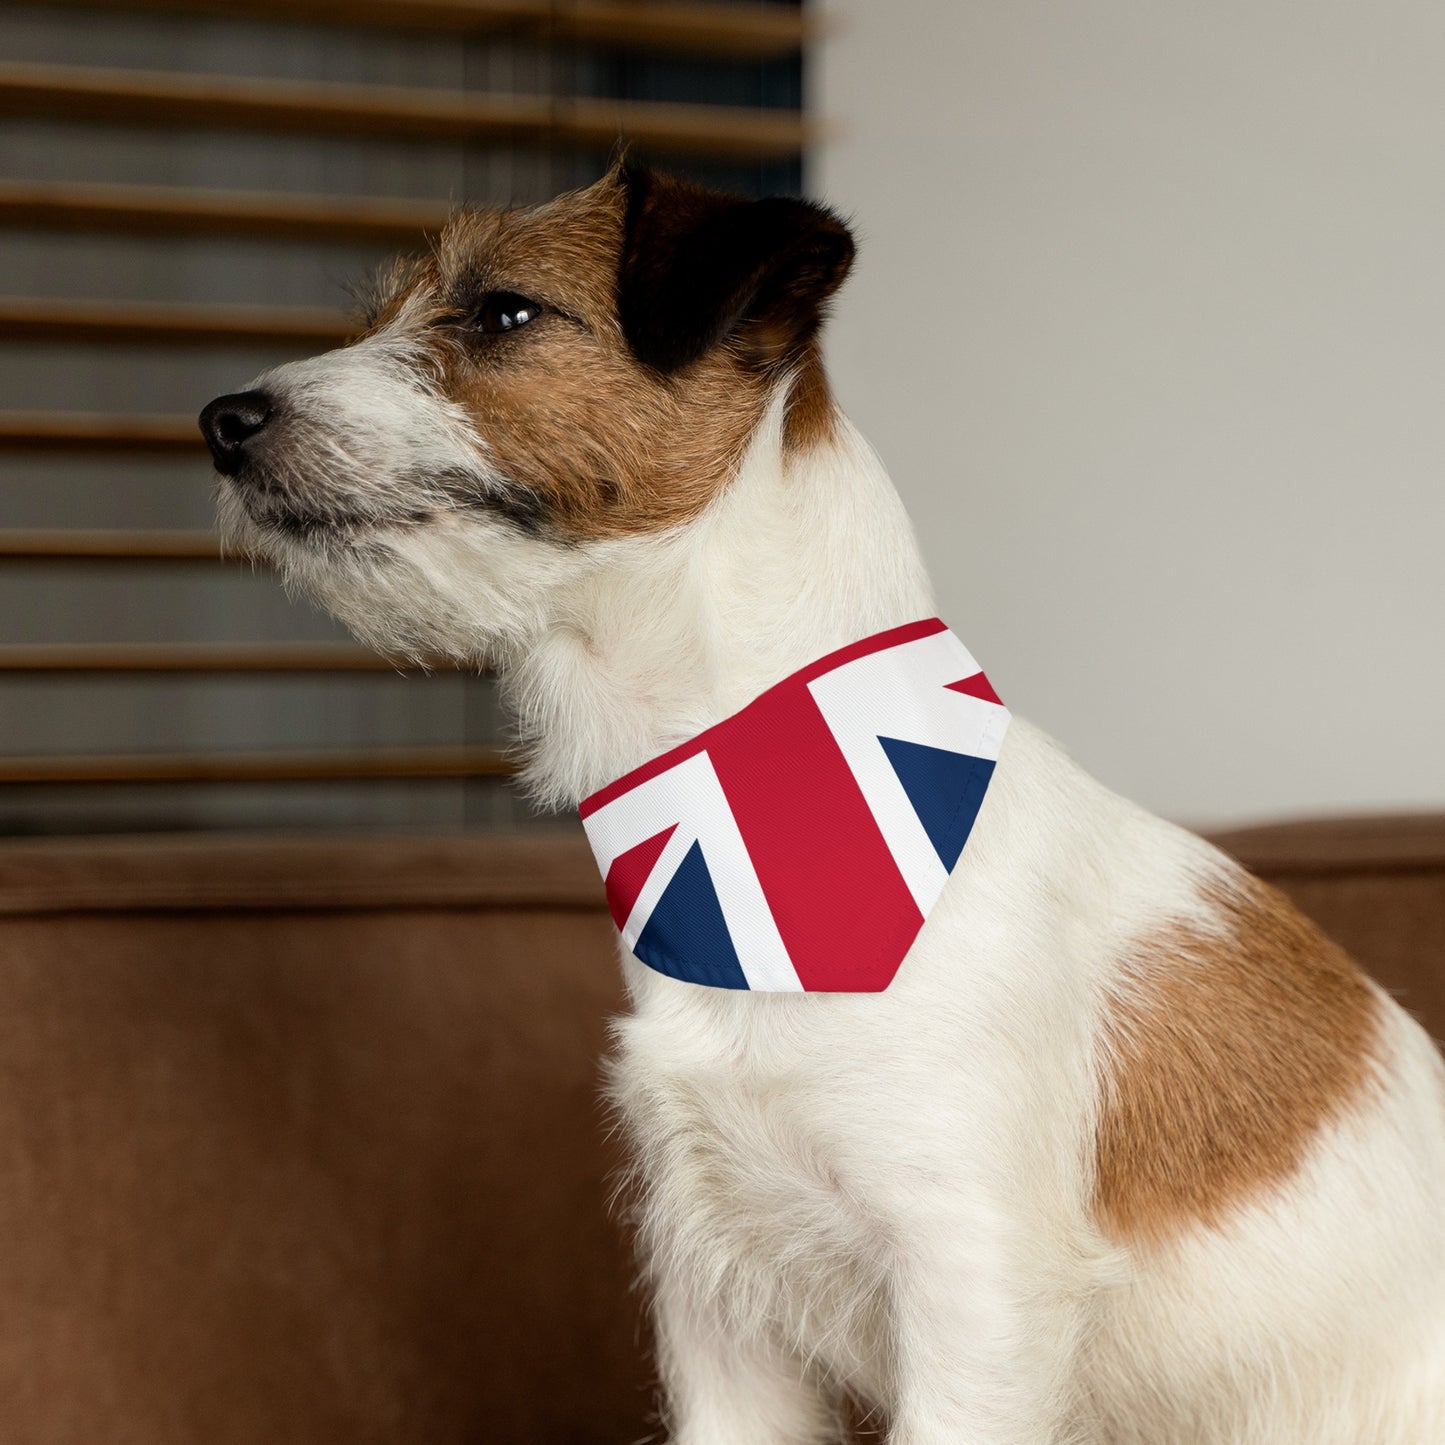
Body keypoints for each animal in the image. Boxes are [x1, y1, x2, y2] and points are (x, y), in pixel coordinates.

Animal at [200, 164, 1445, 1445]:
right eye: (382, 313)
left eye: (502, 312)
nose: (221, 421)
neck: (746, 799)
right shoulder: (717, 1305)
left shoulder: (972, 1292)